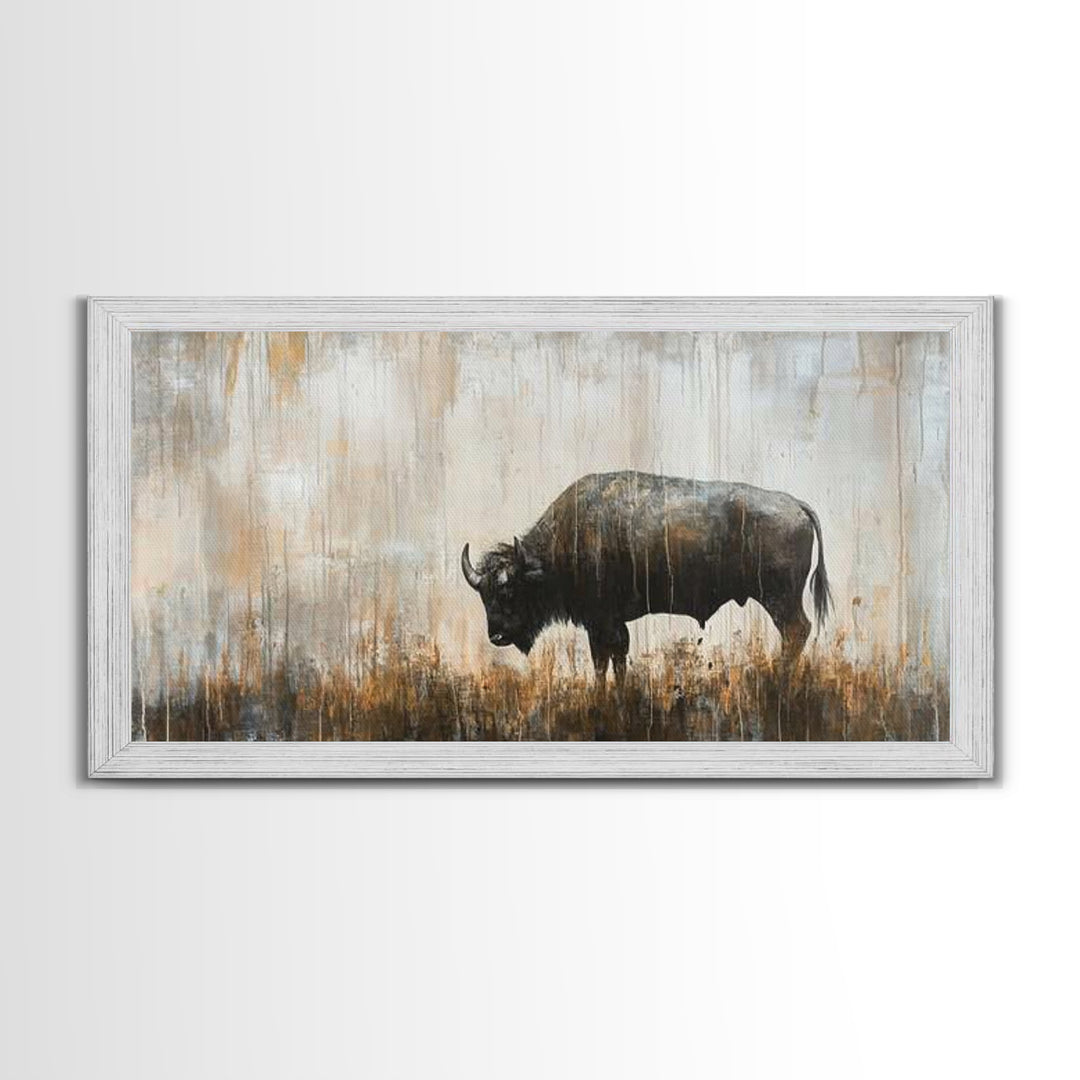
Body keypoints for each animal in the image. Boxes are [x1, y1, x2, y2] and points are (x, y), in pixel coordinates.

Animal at [461, 470, 831, 685]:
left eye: (509, 592)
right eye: (483, 596)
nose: (496, 636)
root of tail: (795, 504)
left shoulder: (602, 620)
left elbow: (608, 660)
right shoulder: (604, 624)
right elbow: (611, 660)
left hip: (779, 598)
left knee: (796, 631)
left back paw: (777, 679)